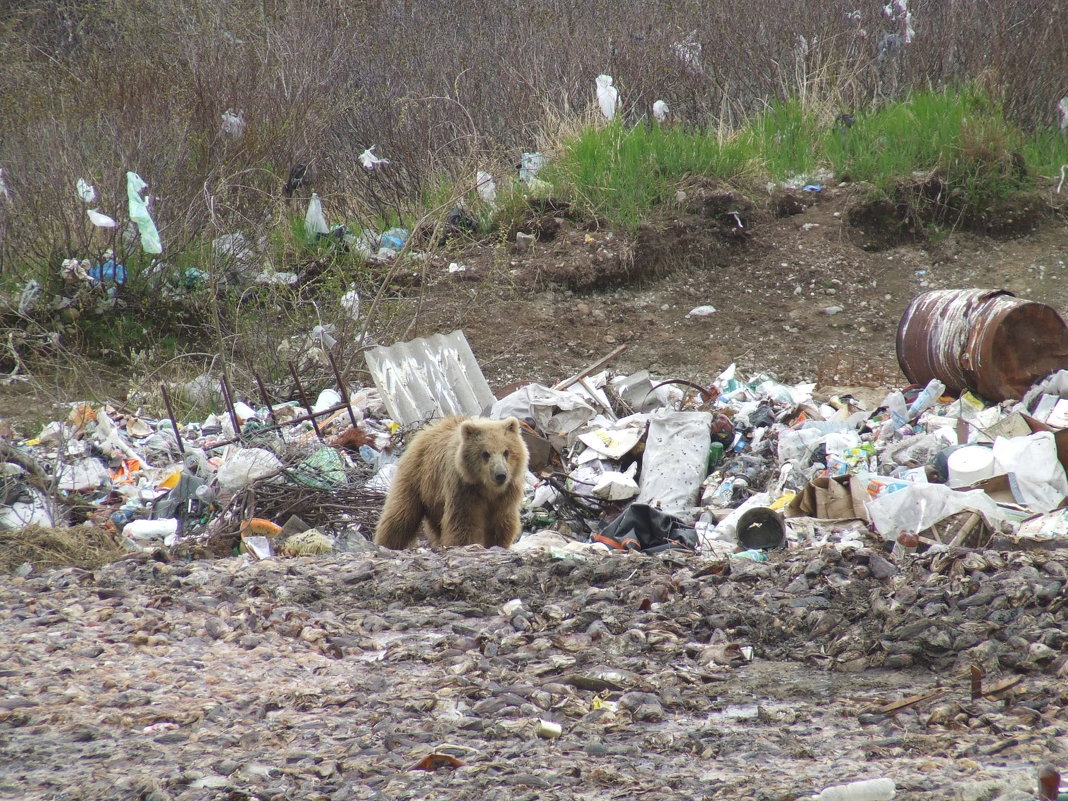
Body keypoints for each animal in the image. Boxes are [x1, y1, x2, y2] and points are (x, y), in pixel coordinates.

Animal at [371, 414, 529, 551]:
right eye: (485, 453)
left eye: (506, 451)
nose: (500, 475)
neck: (487, 489)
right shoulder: (463, 489)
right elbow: (463, 523)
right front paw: (465, 544)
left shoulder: (506, 496)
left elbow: (500, 523)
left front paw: (496, 544)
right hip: (417, 477)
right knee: (401, 514)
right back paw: (387, 543)